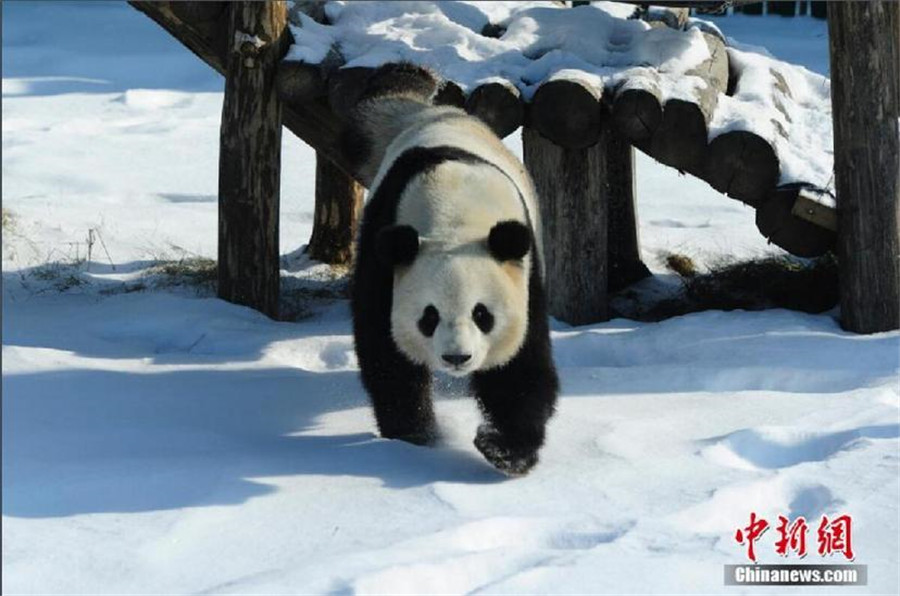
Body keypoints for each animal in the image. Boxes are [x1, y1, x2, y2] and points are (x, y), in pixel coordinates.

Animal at [345, 64, 558, 476]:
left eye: (483, 315)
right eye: (429, 316)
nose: (456, 358)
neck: (455, 212)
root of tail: (434, 114)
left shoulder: (524, 271)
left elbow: (519, 365)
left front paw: (504, 450)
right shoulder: (386, 246)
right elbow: (386, 350)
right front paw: (417, 435)